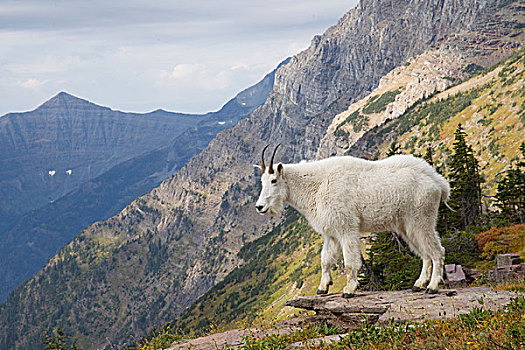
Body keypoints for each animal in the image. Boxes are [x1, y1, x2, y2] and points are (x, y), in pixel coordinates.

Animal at [254, 145, 446, 298]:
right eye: (262, 181)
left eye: (273, 180)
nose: (260, 207)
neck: (317, 185)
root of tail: (438, 182)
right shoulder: (331, 233)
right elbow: (325, 260)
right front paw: (322, 288)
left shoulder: (347, 228)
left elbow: (349, 263)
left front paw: (349, 289)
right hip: (407, 226)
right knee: (425, 253)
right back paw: (418, 284)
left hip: (421, 218)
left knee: (437, 251)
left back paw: (432, 286)